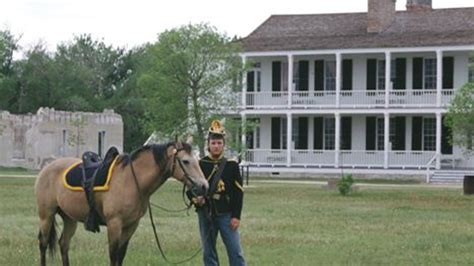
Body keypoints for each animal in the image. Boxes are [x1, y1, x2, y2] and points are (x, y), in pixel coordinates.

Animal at [34, 141, 208, 266]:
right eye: (185, 161)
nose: (204, 186)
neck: (131, 180)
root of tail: (46, 169)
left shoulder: (131, 225)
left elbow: (121, 255)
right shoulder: (114, 223)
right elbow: (113, 255)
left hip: (69, 218)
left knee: (63, 244)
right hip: (46, 215)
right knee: (43, 244)